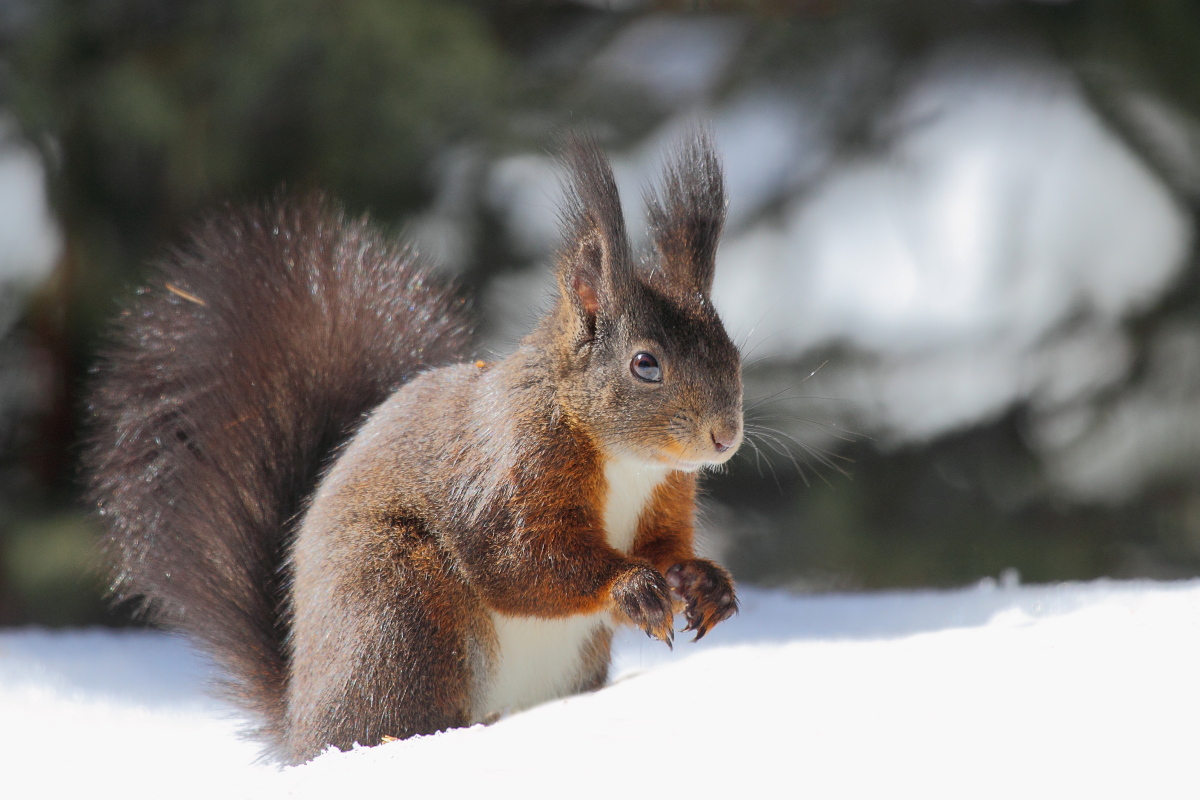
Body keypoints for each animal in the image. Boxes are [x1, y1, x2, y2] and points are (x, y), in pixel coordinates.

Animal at [84, 133, 743, 765]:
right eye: (645, 364)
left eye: (733, 352)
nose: (725, 437)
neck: (628, 463)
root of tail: (303, 723)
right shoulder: (509, 473)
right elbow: (524, 563)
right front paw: (631, 587)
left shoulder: (666, 495)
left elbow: (663, 548)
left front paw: (702, 581)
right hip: (401, 607)